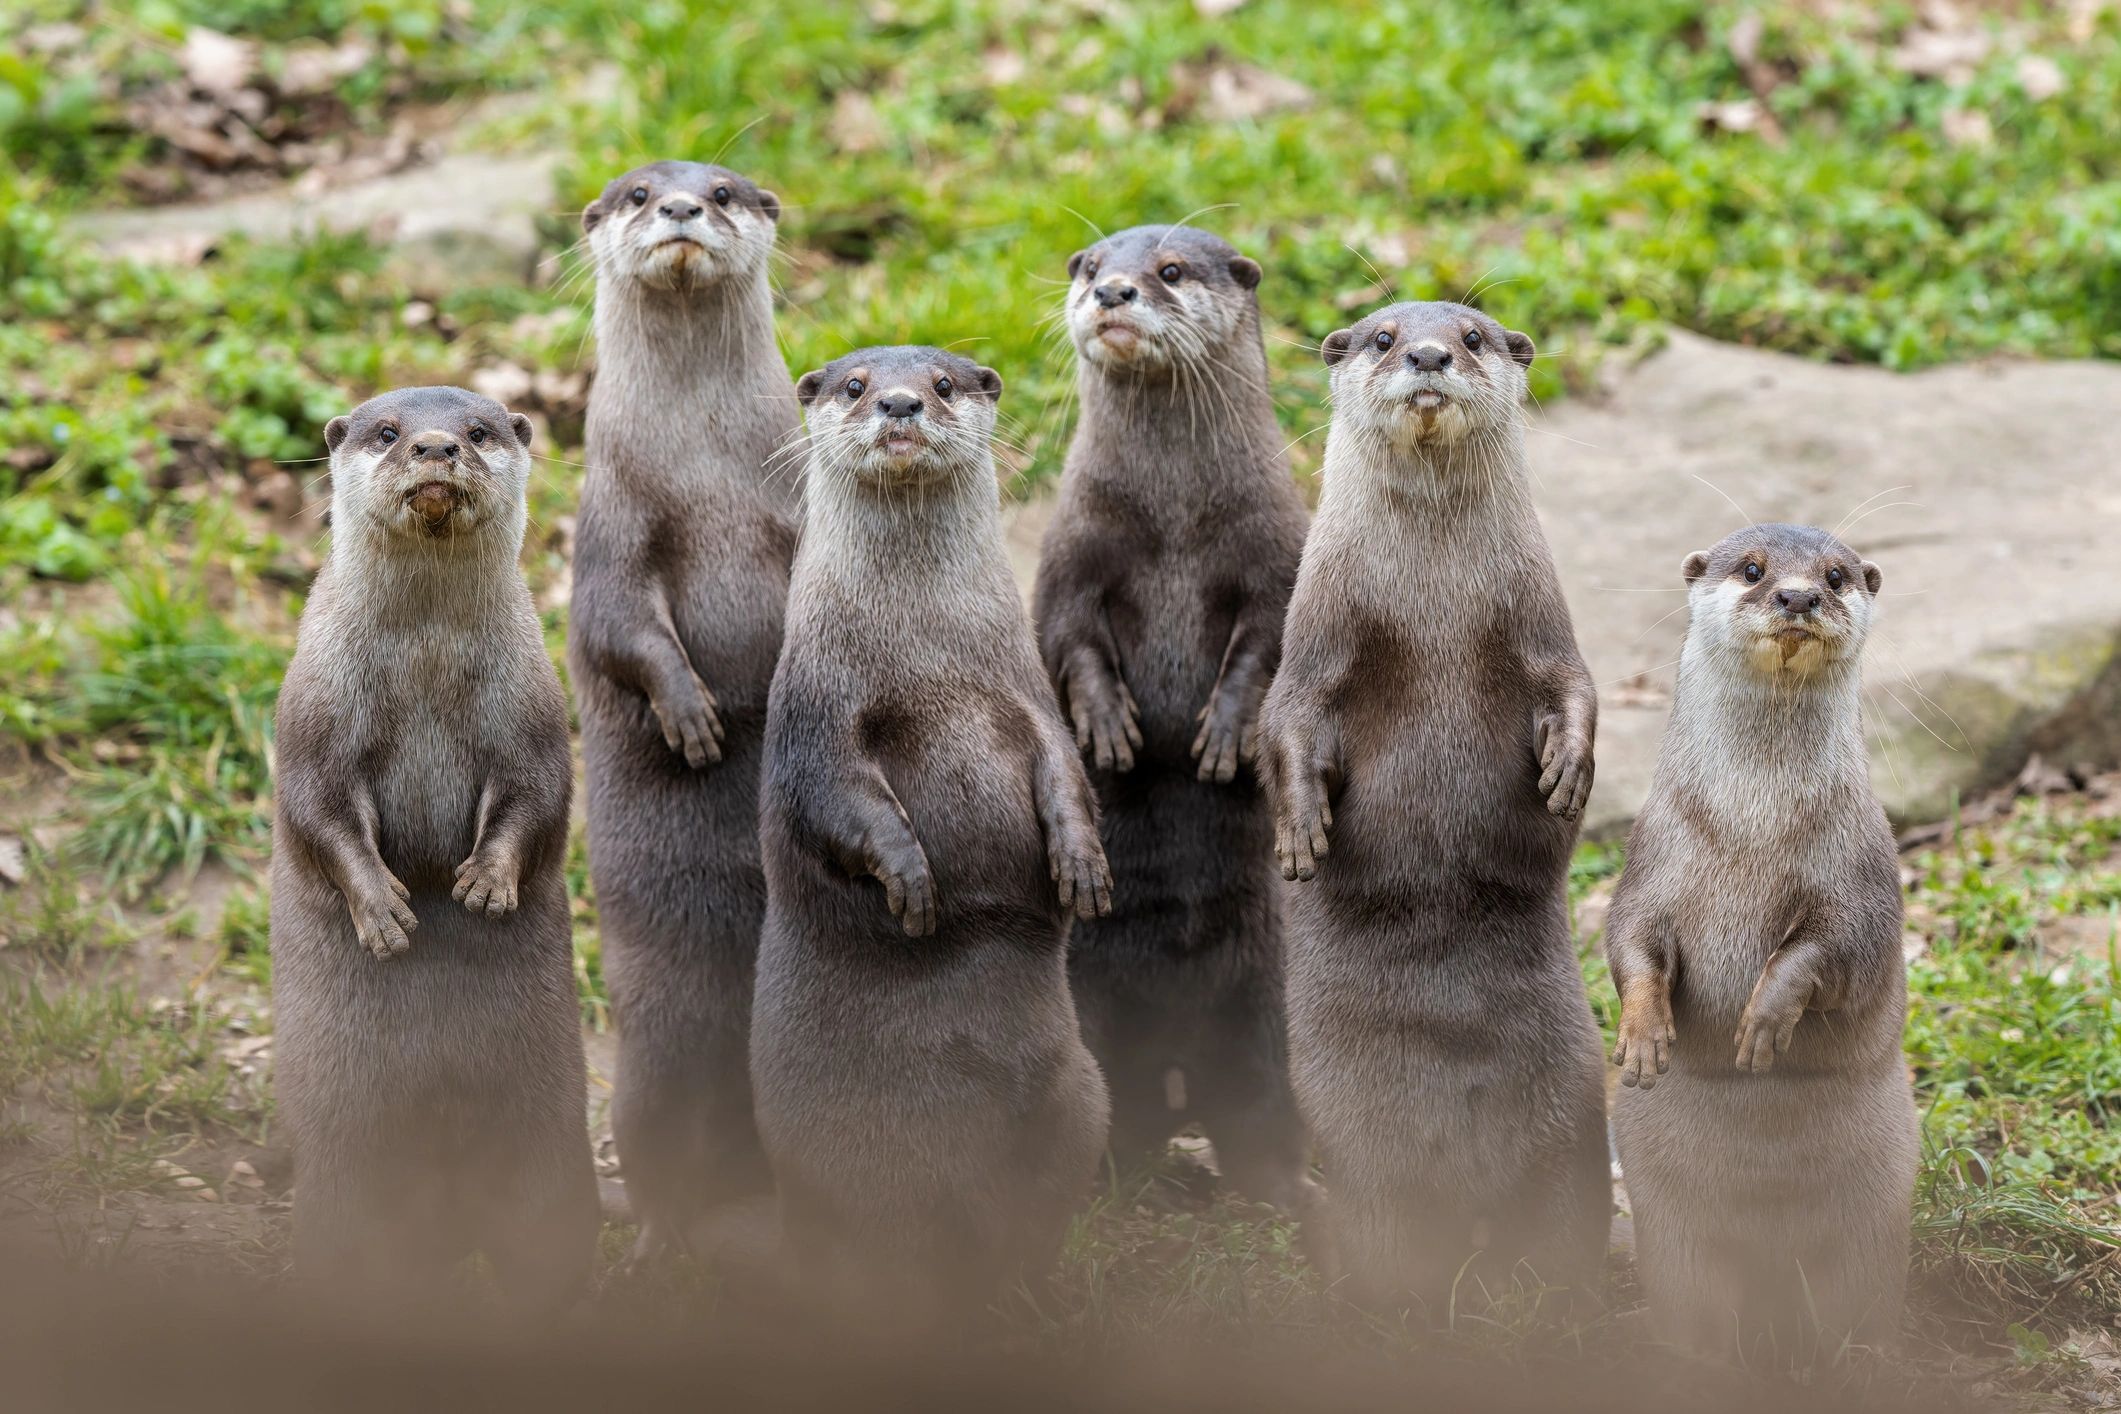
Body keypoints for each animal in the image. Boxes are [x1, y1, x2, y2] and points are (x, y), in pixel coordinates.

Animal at [271, 386, 594, 1307]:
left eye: (479, 431)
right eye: (387, 433)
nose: (437, 447)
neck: (422, 664)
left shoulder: (534, 713)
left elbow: (538, 801)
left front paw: (485, 885)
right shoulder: (311, 718)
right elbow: (318, 813)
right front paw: (382, 910)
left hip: (551, 1158)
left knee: (545, 1244)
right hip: (343, 1184)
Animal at [751, 346, 1112, 1322]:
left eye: (945, 383)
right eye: (853, 385)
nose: (903, 403)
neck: (928, 655)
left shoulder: (1032, 702)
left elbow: (1067, 781)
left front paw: (1084, 868)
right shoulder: (817, 718)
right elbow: (841, 801)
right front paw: (911, 882)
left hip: (1082, 1105)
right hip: (865, 1178)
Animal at [1032, 224, 1315, 1210]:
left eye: (1169, 271)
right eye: (1088, 264)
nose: (1112, 292)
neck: (1172, 527)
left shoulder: (1273, 555)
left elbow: (1263, 653)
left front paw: (1225, 735)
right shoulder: (1072, 551)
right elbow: (1069, 641)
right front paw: (1109, 727)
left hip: (1267, 1009)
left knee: (1260, 1111)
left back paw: (1290, 1192)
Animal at [1257, 301, 1608, 1315]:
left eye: (1475, 336)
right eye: (1380, 337)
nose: (1425, 355)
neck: (1433, 606)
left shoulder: (1539, 624)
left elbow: (1575, 689)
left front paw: (1568, 768)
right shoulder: (1315, 639)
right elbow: (1283, 721)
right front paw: (1300, 830)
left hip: (1575, 1113)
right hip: (1360, 1155)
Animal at [1605, 523, 1916, 1359]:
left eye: (1836, 576)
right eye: (1751, 569)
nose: (1798, 596)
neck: (1753, 831)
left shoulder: (1860, 879)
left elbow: (1834, 954)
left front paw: (1765, 1018)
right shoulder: (1650, 863)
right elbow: (1628, 943)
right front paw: (1643, 1036)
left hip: (1873, 1217)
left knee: (1853, 1302)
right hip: (1672, 1233)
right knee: (1696, 1313)